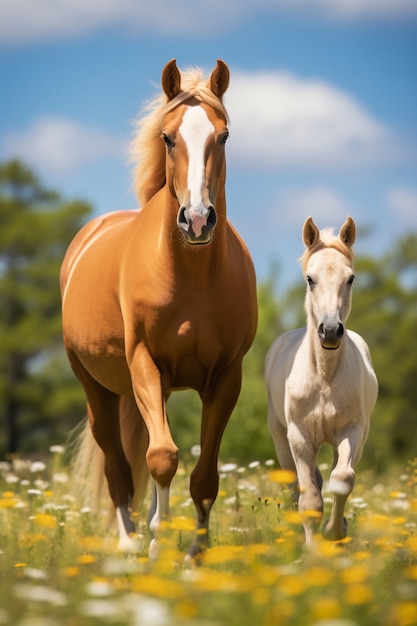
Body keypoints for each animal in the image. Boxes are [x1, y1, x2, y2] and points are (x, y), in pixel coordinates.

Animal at [60, 58, 256, 556]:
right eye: (168, 137)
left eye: (224, 136)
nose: (198, 219)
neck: (192, 275)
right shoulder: (145, 363)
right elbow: (162, 457)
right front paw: (156, 548)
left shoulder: (226, 377)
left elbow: (204, 476)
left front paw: (194, 555)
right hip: (97, 390)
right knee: (118, 468)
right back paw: (130, 545)